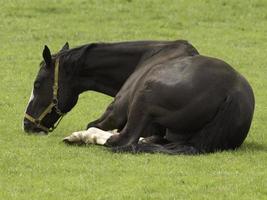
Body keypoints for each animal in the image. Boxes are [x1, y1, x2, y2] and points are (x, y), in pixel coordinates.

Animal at [23, 39, 255, 155]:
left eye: (37, 84)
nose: (26, 124)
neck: (149, 55)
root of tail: (231, 94)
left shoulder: (114, 113)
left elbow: (95, 125)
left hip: (143, 100)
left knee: (121, 141)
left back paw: (83, 137)